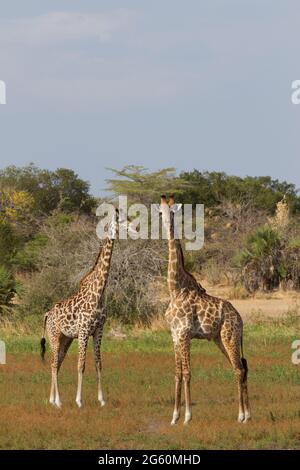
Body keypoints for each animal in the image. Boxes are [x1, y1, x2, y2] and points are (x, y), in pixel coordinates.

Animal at [40, 208, 126, 408]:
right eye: (121, 220)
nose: (134, 228)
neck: (98, 293)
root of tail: (47, 314)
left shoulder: (98, 330)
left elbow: (98, 363)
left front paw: (102, 400)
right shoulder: (83, 331)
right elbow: (81, 365)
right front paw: (79, 400)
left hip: (65, 339)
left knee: (58, 363)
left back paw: (52, 400)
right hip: (54, 336)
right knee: (54, 363)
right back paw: (58, 401)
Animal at [156, 196, 250, 424]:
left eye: (172, 212)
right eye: (160, 212)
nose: (165, 224)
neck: (175, 288)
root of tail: (240, 319)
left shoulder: (184, 334)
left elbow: (187, 372)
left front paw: (188, 417)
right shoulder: (174, 335)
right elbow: (177, 373)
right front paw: (174, 417)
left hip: (229, 336)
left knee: (238, 368)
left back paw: (242, 416)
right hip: (219, 339)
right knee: (241, 367)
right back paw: (248, 414)